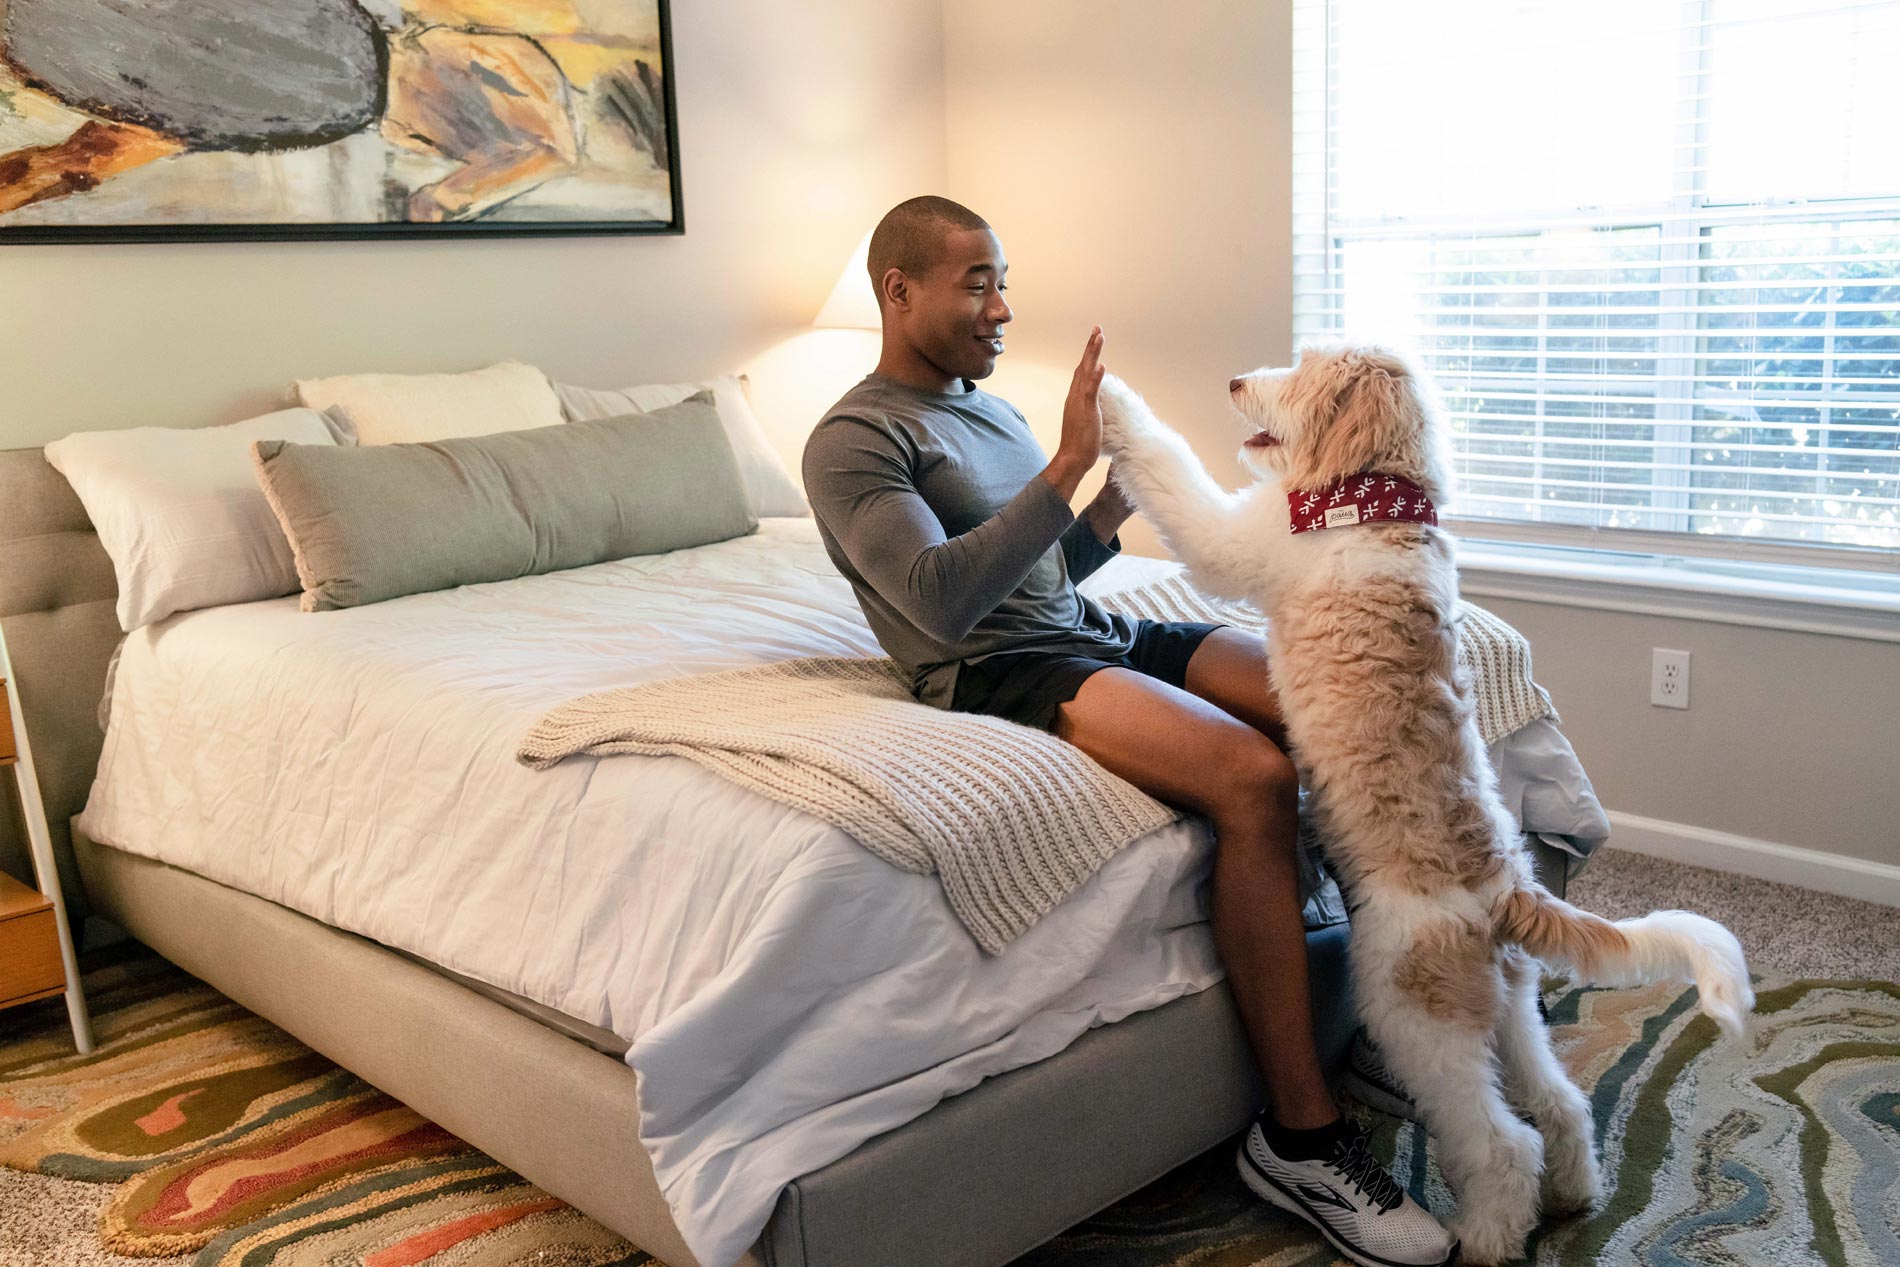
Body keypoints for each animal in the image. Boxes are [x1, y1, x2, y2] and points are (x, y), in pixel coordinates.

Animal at [1102, 341, 1748, 1261]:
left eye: (1302, 367)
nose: (1233, 381)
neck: (1370, 499)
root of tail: (1508, 888)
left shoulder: (1235, 538)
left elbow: (1170, 466)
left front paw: (1108, 393)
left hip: (1413, 1010)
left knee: (1503, 1141)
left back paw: (1483, 1235)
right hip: (1508, 1008)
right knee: (1558, 1102)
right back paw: (1573, 1194)